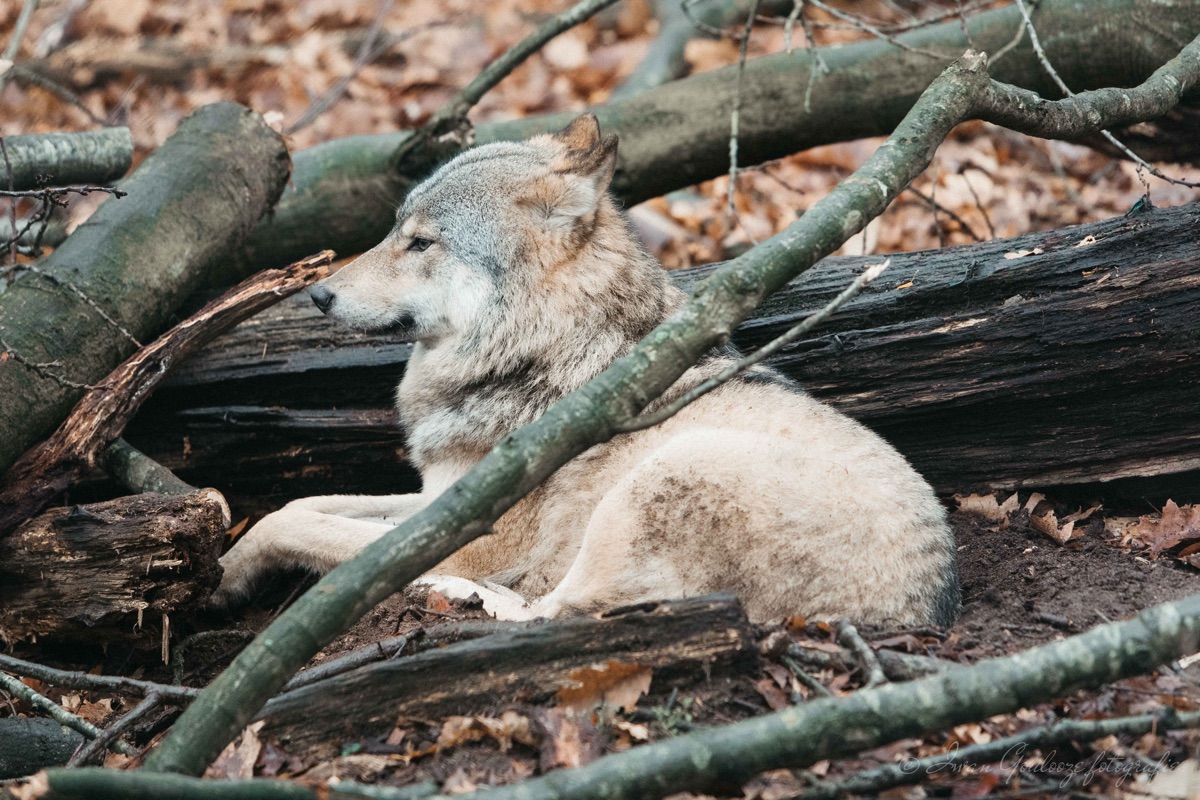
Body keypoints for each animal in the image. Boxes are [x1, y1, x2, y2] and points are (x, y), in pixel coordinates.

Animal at [213, 115, 959, 625]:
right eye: (396, 228)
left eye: (421, 242)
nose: (318, 294)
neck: (536, 351)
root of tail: (922, 612)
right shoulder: (435, 497)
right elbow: (297, 506)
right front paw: (225, 564)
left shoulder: (463, 533)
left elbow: (303, 527)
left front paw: (220, 575)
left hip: (666, 472)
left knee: (553, 608)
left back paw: (452, 593)